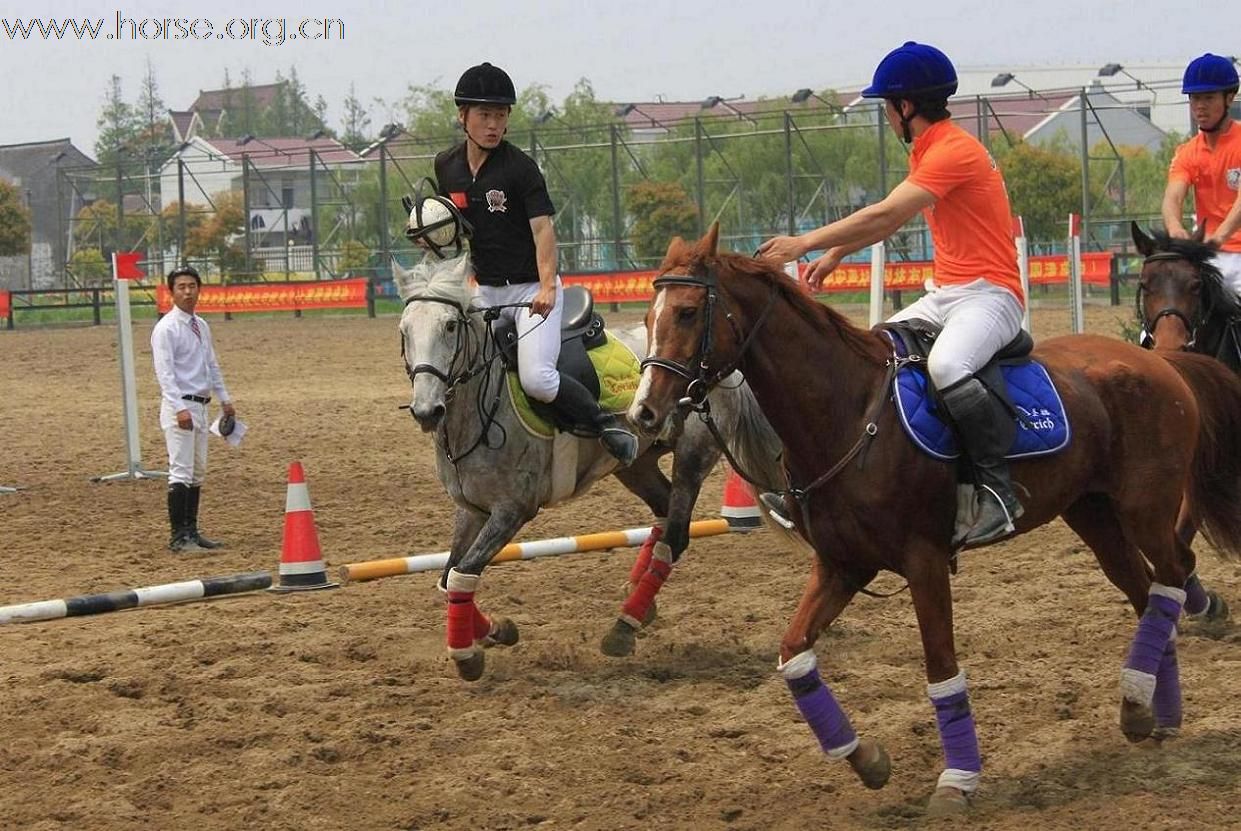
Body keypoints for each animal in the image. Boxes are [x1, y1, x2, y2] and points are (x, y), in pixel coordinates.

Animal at [397, 255, 794, 684]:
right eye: (404, 331)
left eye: (450, 326)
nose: (427, 411)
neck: (482, 405)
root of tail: (720, 360)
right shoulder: (470, 510)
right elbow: (449, 575)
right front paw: (495, 631)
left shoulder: (512, 510)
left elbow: (463, 572)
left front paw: (468, 654)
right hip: (635, 464)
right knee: (662, 510)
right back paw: (639, 599)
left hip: (693, 454)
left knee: (674, 537)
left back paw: (624, 626)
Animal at [630, 225, 1241, 813]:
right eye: (648, 317)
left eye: (688, 312)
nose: (644, 412)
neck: (846, 413)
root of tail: (1161, 360)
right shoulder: (842, 567)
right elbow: (794, 655)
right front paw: (867, 760)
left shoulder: (923, 562)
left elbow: (941, 668)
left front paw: (958, 780)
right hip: (1091, 513)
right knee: (1144, 589)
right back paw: (1149, 710)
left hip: (1144, 507)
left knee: (1172, 575)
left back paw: (1154, 693)